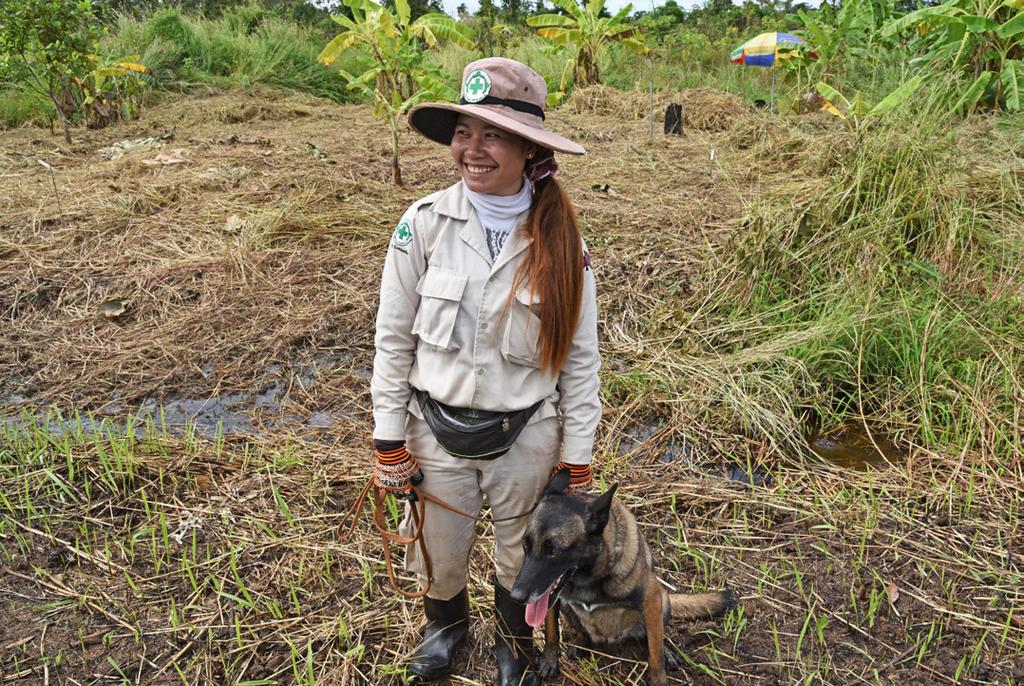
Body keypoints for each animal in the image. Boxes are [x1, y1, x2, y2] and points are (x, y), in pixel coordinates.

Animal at [509, 473, 737, 686]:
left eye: (554, 551)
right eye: (525, 545)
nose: (515, 596)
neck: (590, 577)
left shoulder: (651, 599)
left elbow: (655, 651)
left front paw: (658, 677)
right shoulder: (550, 598)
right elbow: (551, 631)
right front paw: (549, 659)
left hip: (662, 602)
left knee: (654, 637)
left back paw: (666, 652)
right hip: (567, 609)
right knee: (584, 633)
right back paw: (581, 645)